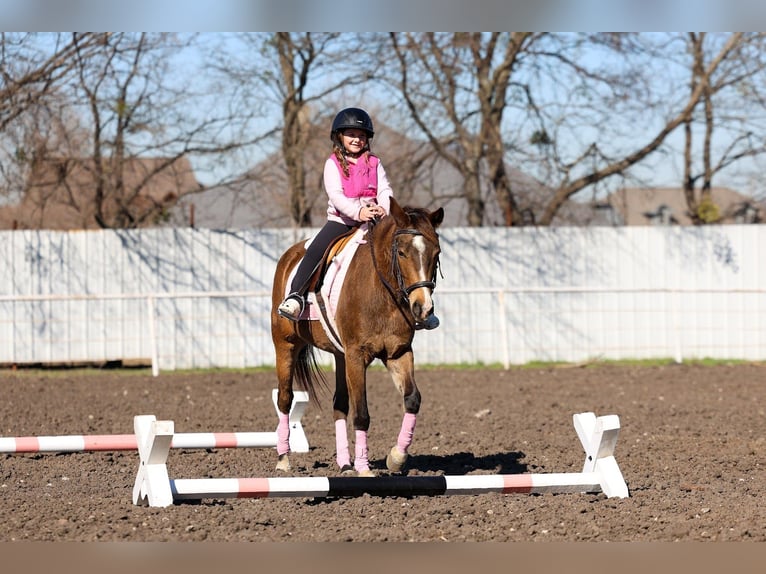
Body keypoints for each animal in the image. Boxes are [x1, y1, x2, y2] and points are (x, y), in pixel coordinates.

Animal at [270, 197, 444, 476]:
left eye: (436, 254)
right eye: (402, 252)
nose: (423, 308)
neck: (382, 292)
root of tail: (289, 256)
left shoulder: (398, 353)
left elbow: (412, 399)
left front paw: (396, 458)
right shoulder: (357, 355)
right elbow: (361, 413)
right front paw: (365, 469)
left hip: (340, 355)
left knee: (339, 405)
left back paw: (344, 463)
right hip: (285, 344)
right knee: (285, 398)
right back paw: (284, 459)